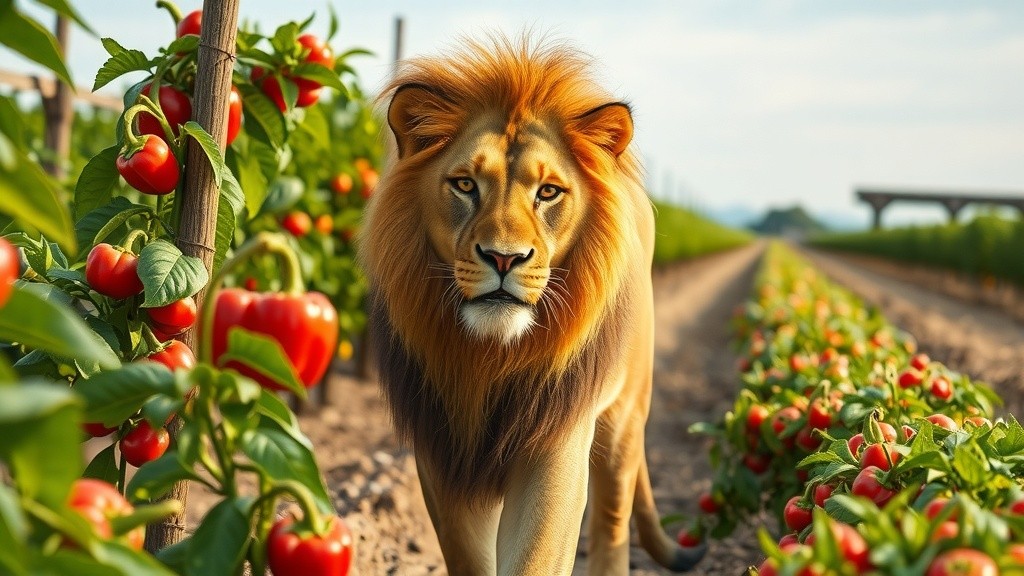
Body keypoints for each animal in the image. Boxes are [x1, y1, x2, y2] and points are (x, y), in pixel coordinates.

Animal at [358, 35, 707, 575]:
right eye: (465, 184)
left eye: (548, 192)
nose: (504, 257)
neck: (489, 358)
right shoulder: (442, 453)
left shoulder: (556, 443)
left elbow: (537, 554)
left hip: (625, 418)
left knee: (612, 523)